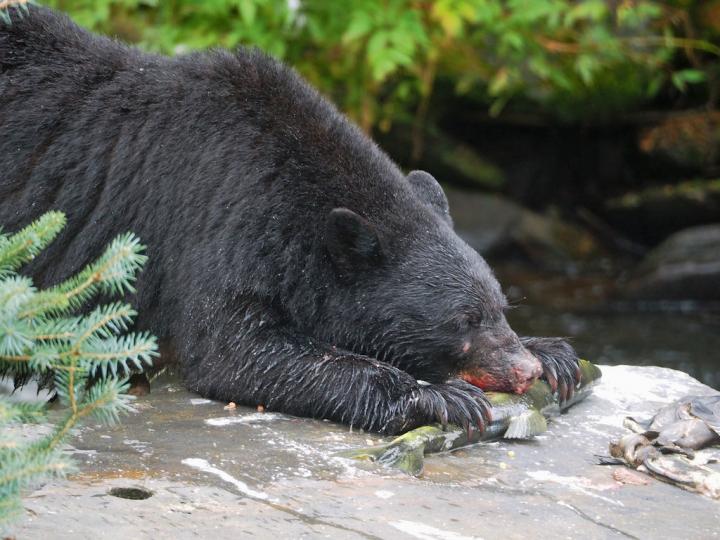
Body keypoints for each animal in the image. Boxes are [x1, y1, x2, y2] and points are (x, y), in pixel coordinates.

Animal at [0, 6, 580, 434]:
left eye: (501, 306)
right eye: (464, 320)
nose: (523, 371)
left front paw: (553, 352)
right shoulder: (215, 221)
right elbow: (233, 350)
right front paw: (437, 396)